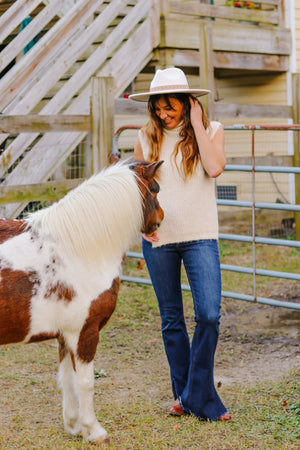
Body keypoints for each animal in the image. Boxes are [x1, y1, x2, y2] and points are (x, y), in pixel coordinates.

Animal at [0, 160, 164, 444]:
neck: (77, 249)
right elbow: (86, 383)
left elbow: (67, 380)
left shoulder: (65, 335)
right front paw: (94, 430)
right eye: (155, 189)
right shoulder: (84, 332)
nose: (160, 220)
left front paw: (74, 425)